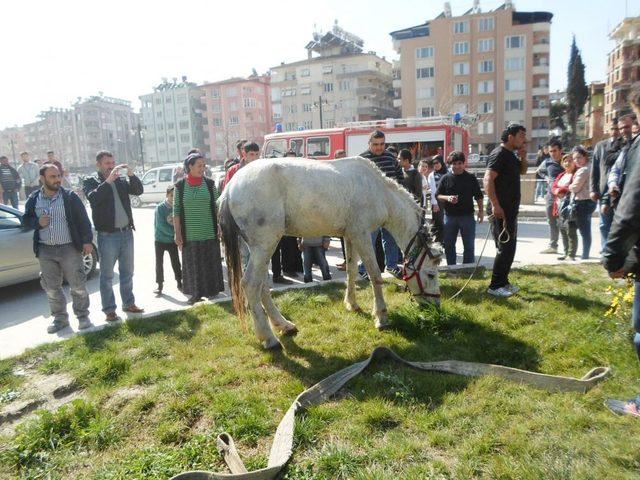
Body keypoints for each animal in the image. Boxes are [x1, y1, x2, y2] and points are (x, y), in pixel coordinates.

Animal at [218, 158, 442, 348]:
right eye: (431, 274)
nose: (435, 306)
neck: (379, 191)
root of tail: (230, 188)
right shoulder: (362, 234)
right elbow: (374, 274)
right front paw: (381, 316)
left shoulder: (350, 235)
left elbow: (351, 269)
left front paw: (352, 304)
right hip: (265, 245)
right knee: (251, 284)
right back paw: (269, 338)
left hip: (256, 248)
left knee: (262, 285)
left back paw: (284, 325)